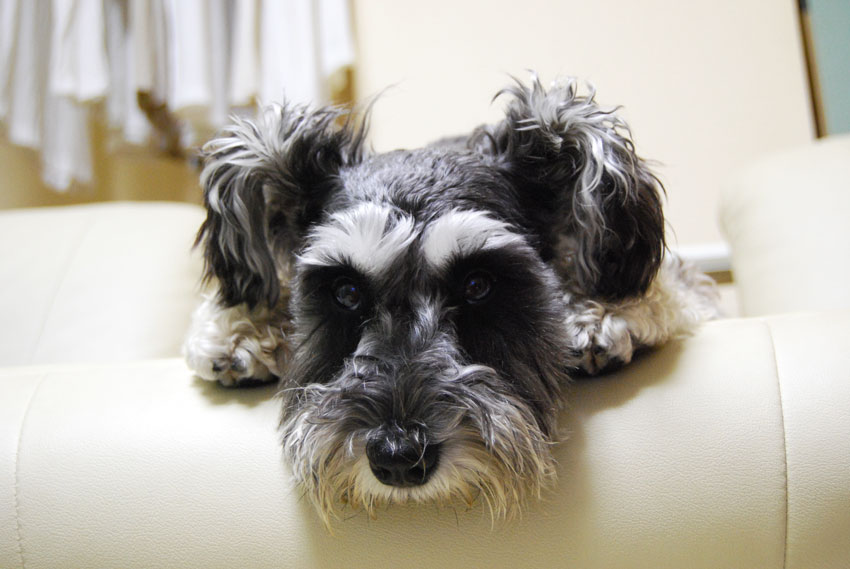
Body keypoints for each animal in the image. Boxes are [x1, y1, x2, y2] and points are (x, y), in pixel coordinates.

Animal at [183, 77, 719, 524]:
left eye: (478, 285)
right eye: (346, 291)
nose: (399, 457)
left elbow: (671, 288)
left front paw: (605, 313)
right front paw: (240, 330)